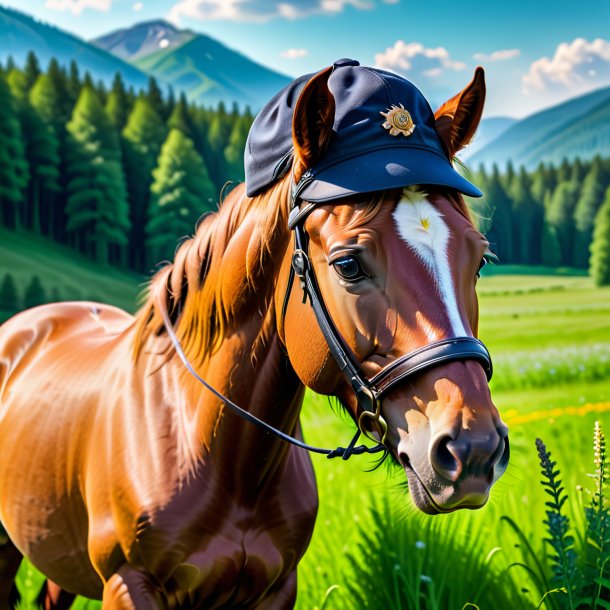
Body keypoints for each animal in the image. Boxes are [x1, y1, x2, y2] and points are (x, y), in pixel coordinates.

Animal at [0, 63, 508, 608]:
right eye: (347, 265)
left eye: (480, 259)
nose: (473, 449)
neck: (210, 448)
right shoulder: (127, 584)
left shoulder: (275, 588)